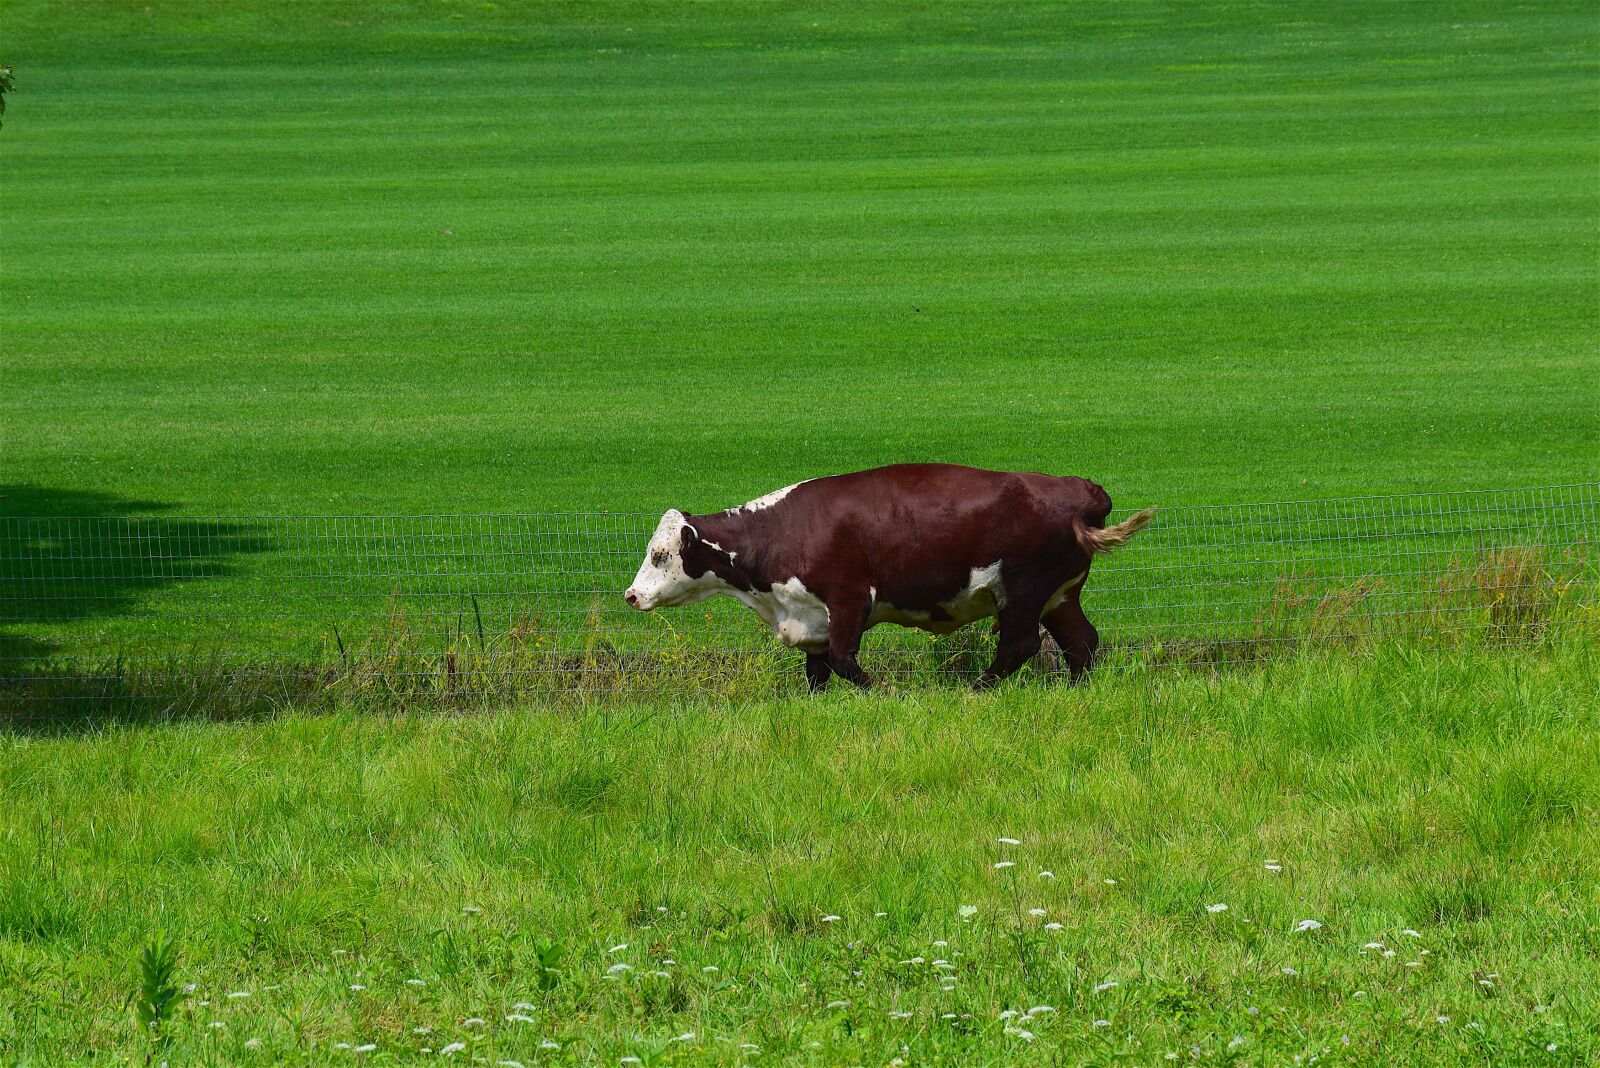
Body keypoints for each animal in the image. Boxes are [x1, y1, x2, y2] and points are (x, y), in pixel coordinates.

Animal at [624, 463, 1154, 691]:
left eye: (659, 554)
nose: (630, 595)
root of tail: (1077, 488)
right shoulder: (810, 616)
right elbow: (817, 670)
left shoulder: (849, 598)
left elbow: (843, 660)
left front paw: (882, 691)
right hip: (1058, 595)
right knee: (1081, 641)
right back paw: (1075, 691)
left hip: (1023, 593)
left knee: (1018, 646)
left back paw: (977, 690)